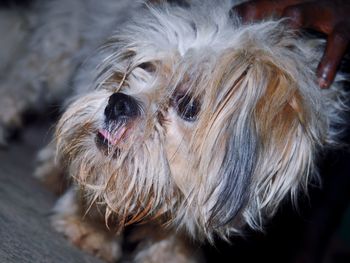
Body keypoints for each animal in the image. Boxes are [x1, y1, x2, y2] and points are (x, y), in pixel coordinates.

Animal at [1, 0, 348, 262]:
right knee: (18, 86)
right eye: (144, 69)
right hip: (55, 52)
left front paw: (169, 254)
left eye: (188, 106)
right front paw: (89, 228)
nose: (117, 102)